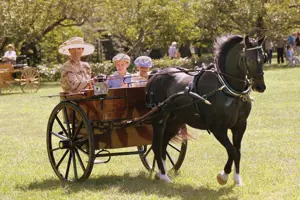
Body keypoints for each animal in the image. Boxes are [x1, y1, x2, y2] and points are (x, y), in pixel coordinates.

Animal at [146, 34, 266, 186]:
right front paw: (223, 175)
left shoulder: (240, 125)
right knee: (156, 145)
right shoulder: (218, 128)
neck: (226, 87)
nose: (260, 86)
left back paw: (162, 173)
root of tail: (157, 73)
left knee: (163, 144)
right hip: (159, 119)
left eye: (264, 58)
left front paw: (237, 179)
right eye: (249, 59)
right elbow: (232, 150)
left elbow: (237, 151)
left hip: (176, 121)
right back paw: (163, 175)